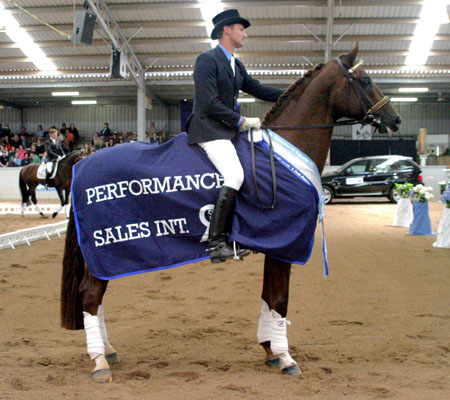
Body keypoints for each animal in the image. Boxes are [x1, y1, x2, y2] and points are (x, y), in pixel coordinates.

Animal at [60, 45, 402, 383]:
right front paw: (286, 358)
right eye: (366, 79)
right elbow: (280, 299)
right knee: (90, 295)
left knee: (96, 297)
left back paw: (107, 351)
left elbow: (268, 296)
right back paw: (100, 362)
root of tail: (83, 162)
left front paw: (270, 349)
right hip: (108, 251)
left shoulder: (275, 244)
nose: (395, 119)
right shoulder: (284, 242)